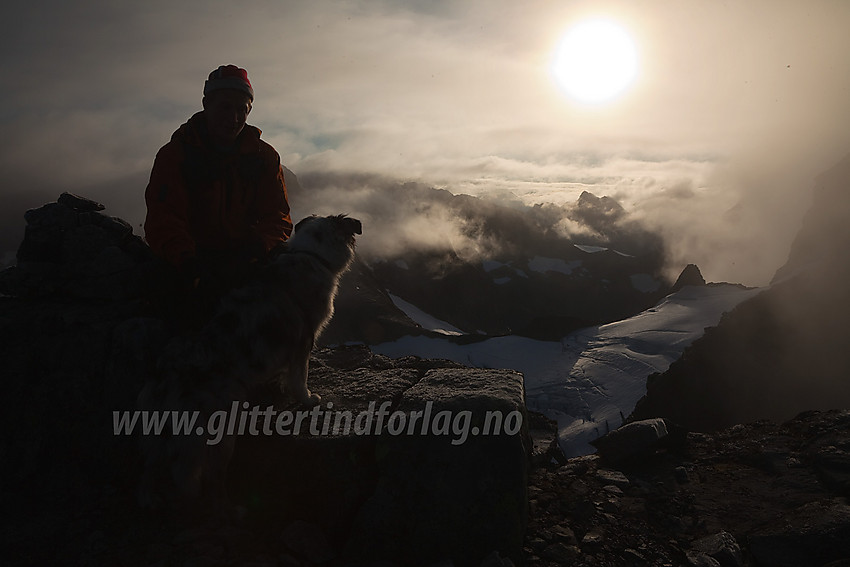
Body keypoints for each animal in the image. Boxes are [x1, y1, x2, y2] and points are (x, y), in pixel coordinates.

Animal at [137, 213, 362, 510]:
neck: (312, 254)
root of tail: (169, 375)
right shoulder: (303, 340)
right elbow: (299, 376)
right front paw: (309, 399)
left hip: (160, 433)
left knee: (153, 467)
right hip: (218, 429)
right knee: (207, 476)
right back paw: (229, 507)